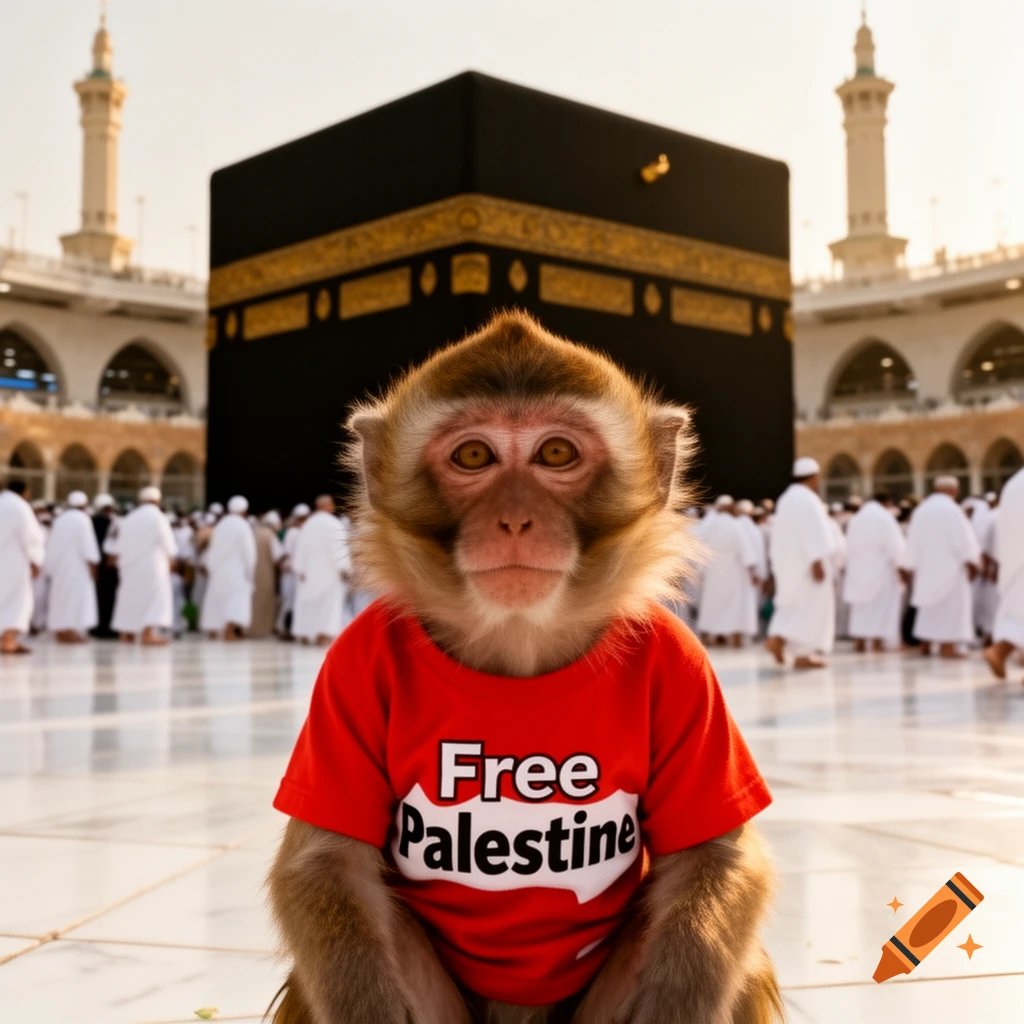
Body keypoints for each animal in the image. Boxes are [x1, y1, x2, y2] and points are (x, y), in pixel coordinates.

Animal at [268, 310, 784, 1024]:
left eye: (556, 454)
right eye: (474, 456)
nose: (514, 519)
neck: (520, 644)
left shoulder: (686, 672)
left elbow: (711, 856)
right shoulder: (348, 672)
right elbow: (326, 864)